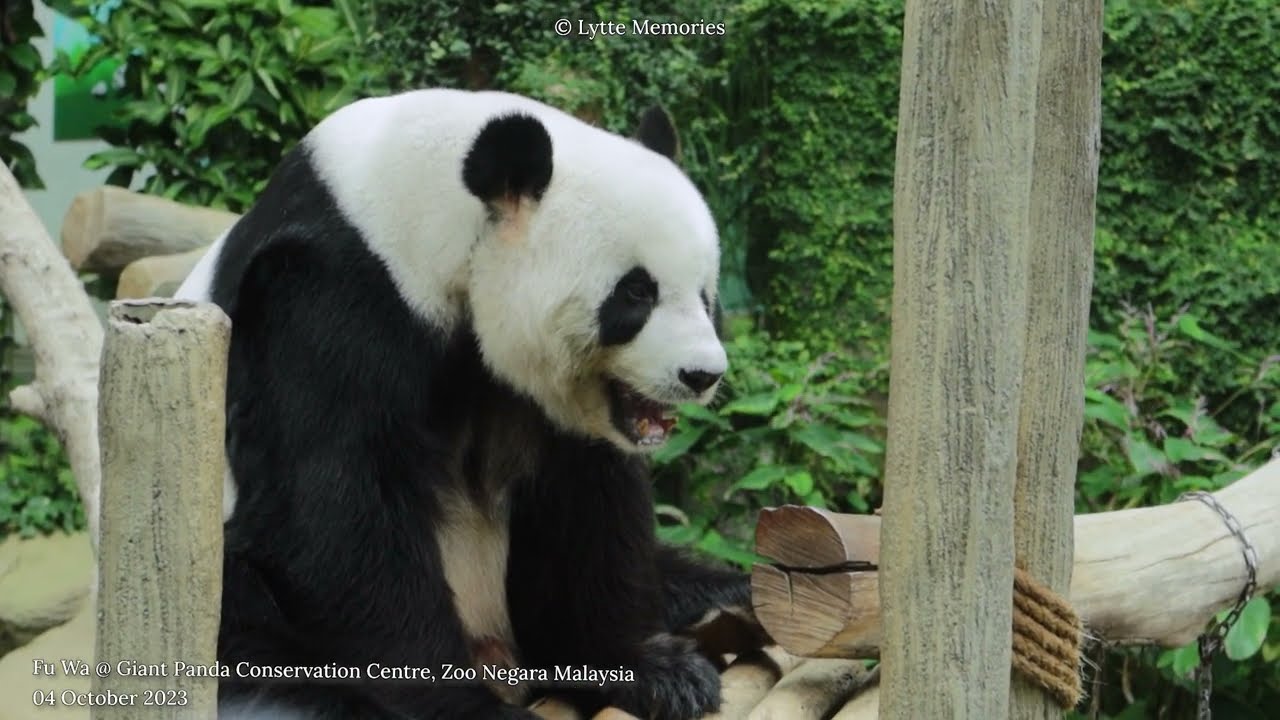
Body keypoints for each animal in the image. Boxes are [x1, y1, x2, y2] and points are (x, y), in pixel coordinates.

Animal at [174, 88, 767, 720]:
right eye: (636, 292)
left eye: (705, 294)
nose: (702, 375)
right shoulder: (325, 299)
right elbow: (338, 507)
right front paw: (460, 704)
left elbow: (588, 504)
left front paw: (651, 669)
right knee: (246, 618)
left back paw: (732, 598)